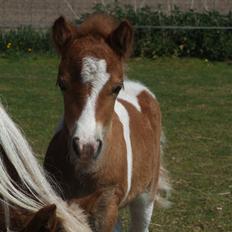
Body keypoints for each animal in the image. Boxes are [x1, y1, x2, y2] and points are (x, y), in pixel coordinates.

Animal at [44, 13, 170, 231]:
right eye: (62, 83)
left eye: (116, 87)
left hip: (145, 196)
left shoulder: (107, 201)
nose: (86, 148)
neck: (85, 171)